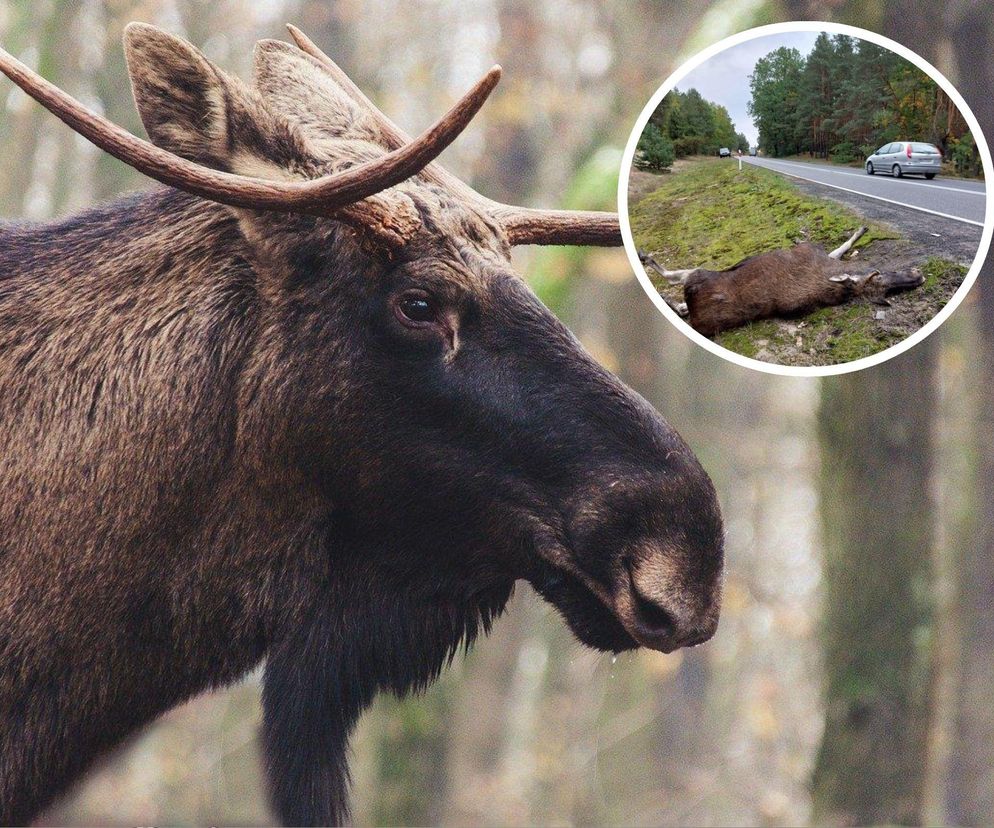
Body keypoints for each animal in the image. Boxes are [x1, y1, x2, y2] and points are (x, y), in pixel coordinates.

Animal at [640, 226, 928, 336]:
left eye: (885, 292)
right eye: (878, 275)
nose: (919, 275)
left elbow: (841, 246)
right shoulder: (820, 255)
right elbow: (842, 246)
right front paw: (862, 229)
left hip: (697, 275)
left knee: (673, 285)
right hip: (697, 276)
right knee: (675, 291)